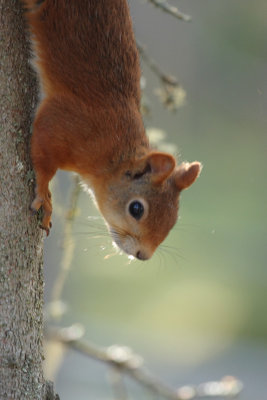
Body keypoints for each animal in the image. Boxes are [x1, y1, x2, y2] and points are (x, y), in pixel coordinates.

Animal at [23, 0, 203, 260]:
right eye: (136, 208)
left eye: (174, 219)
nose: (143, 255)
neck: (112, 154)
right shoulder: (63, 124)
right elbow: (43, 158)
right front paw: (45, 197)